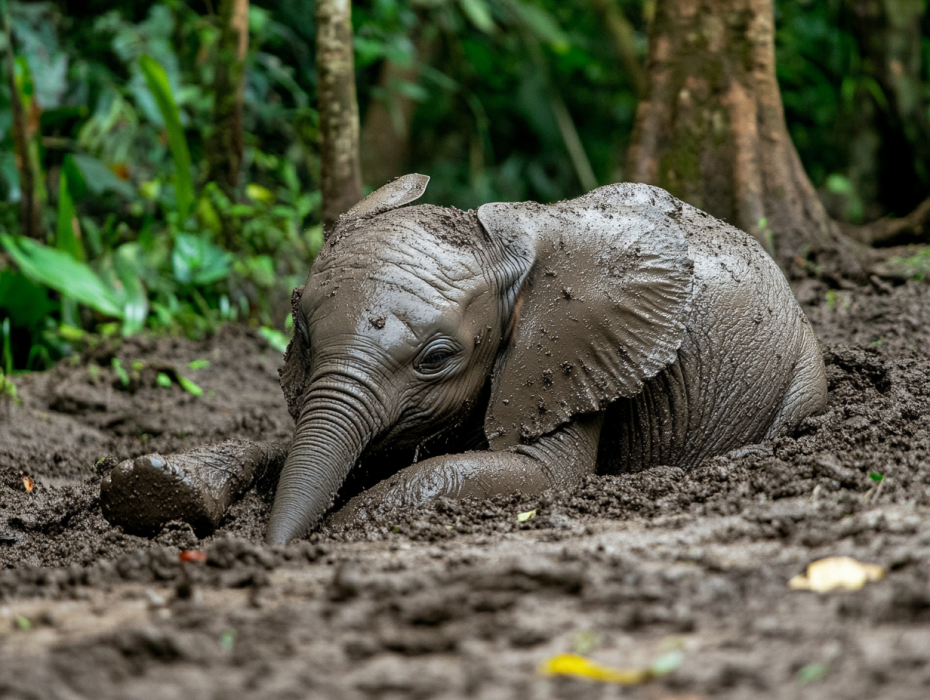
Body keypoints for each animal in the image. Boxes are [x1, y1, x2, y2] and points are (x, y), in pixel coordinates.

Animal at [101, 175, 827, 544]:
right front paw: (150, 487)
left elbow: (542, 475)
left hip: (804, 367)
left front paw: (344, 525)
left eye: (437, 358)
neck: (504, 243)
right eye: (300, 330)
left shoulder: (570, 355)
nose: (271, 550)